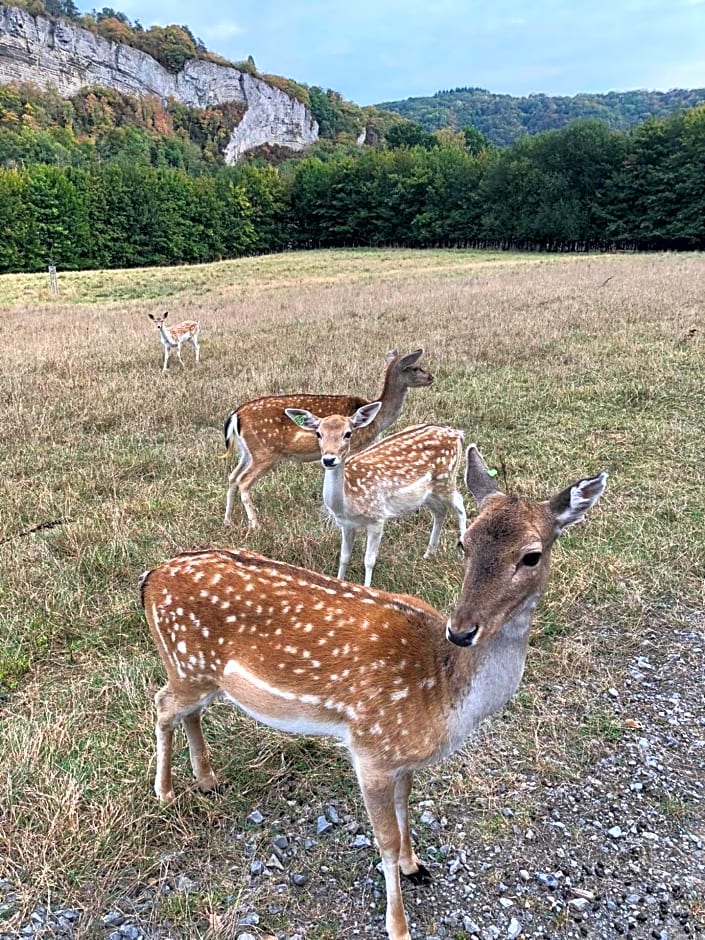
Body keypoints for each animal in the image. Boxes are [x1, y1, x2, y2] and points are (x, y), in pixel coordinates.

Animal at [142, 446, 604, 940]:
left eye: (532, 556)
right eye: (464, 543)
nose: (462, 631)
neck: (441, 691)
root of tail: (149, 578)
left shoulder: (403, 758)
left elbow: (405, 811)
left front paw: (414, 865)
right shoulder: (371, 749)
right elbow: (383, 838)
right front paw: (398, 925)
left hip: (202, 675)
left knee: (186, 710)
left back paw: (208, 780)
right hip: (186, 665)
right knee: (162, 704)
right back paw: (167, 793)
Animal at [220, 350, 432, 532]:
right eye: (415, 367)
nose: (431, 377)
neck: (377, 419)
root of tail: (235, 416)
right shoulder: (353, 448)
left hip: (248, 452)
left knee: (232, 476)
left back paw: (228, 520)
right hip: (265, 452)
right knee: (243, 481)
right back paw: (255, 525)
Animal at [284, 402, 464, 588]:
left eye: (348, 433)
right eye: (318, 433)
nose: (329, 459)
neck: (348, 502)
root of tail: (457, 433)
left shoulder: (377, 518)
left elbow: (369, 561)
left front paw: (366, 588)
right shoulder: (346, 524)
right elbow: (344, 557)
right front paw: (339, 582)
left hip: (446, 479)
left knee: (459, 502)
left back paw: (462, 552)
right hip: (428, 493)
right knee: (440, 512)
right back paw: (428, 554)